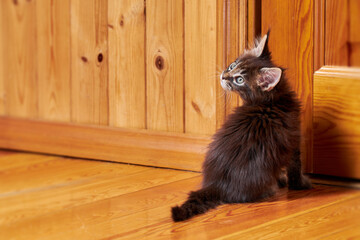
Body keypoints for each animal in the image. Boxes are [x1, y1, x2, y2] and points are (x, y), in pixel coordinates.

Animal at [172, 31, 312, 221]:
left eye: (239, 79)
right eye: (232, 65)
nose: (223, 76)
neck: (271, 100)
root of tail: (216, 184)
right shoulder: (293, 141)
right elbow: (296, 167)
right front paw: (301, 184)